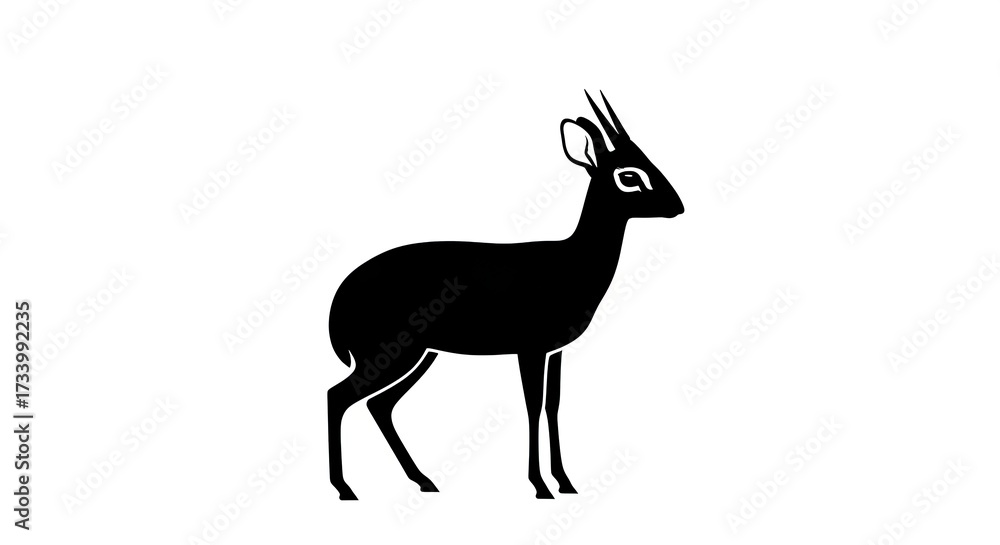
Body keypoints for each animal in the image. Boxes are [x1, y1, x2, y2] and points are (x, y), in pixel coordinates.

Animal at [327, 91, 684, 500]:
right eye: (629, 175)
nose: (677, 206)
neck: (570, 262)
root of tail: (341, 296)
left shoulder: (554, 351)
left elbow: (552, 404)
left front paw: (565, 482)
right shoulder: (529, 349)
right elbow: (532, 405)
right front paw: (540, 485)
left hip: (420, 355)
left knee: (379, 405)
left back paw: (424, 481)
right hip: (392, 354)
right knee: (338, 397)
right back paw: (345, 488)